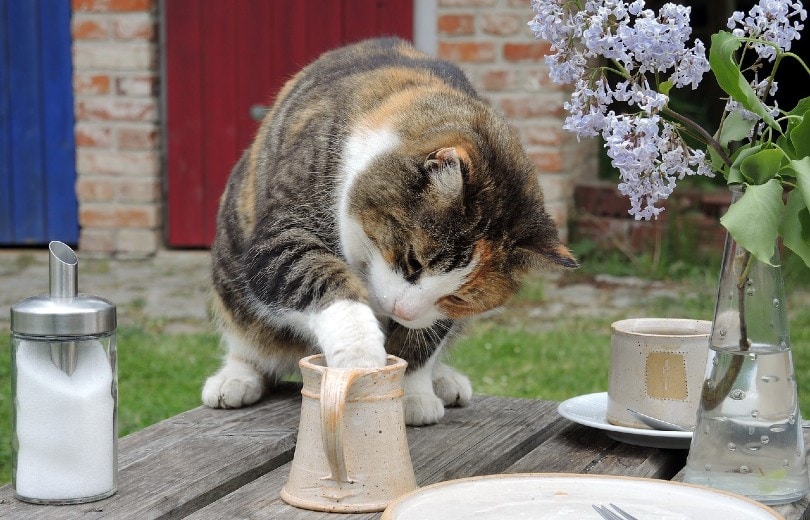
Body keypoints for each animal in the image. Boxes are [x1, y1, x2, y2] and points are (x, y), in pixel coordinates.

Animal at [201, 38, 576, 424]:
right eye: (413, 260)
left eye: (457, 298)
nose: (404, 311)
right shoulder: (283, 230)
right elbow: (315, 274)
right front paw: (361, 358)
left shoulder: (437, 318)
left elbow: (423, 339)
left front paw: (410, 393)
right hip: (230, 265)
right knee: (247, 337)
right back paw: (235, 378)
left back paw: (444, 379)